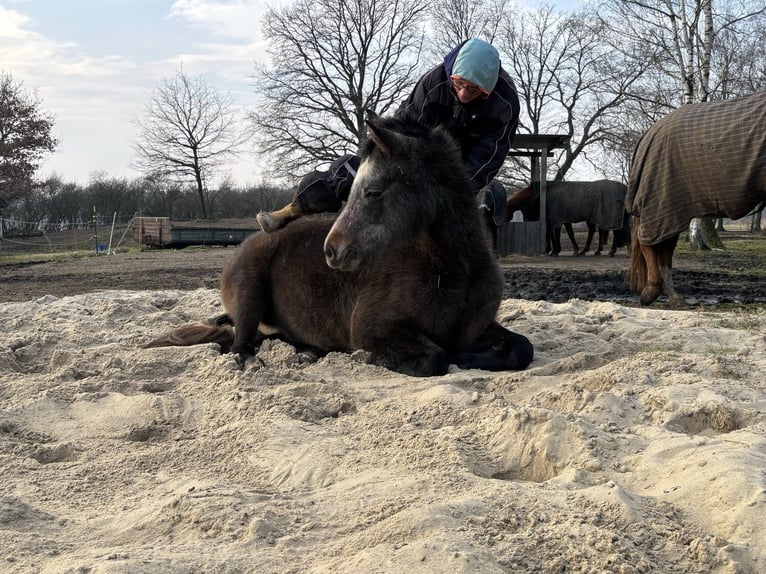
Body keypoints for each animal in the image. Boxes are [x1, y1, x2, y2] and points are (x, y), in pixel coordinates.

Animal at [147, 116, 536, 378]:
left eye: (373, 191)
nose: (332, 250)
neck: (450, 273)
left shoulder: (478, 327)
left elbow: (522, 348)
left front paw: (468, 357)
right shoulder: (372, 329)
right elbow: (436, 358)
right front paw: (369, 358)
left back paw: (306, 353)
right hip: (248, 292)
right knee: (239, 346)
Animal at [504, 180, 632, 256]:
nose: (526, 220)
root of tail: (625, 189)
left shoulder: (556, 219)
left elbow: (555, 234)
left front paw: (554, 251)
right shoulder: (561, 219)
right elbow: (567, 234)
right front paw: (562, 250)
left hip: (610, 217)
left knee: (617, 231)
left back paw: (611, 251)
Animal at [632, 91, 766, 306]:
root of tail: (651, 132)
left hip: (673, 206)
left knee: (665, 247)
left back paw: (674, 298)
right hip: (661, 199)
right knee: (649, 241)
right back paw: (651, 292)